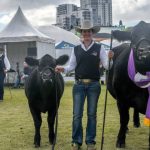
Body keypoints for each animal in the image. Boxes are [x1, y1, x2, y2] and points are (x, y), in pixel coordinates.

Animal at [108, 20, 150, 148]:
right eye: (133, 36)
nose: (145, 52)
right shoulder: (121, 100)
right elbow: (124, 119)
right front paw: (120, 140)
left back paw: (136, 122)